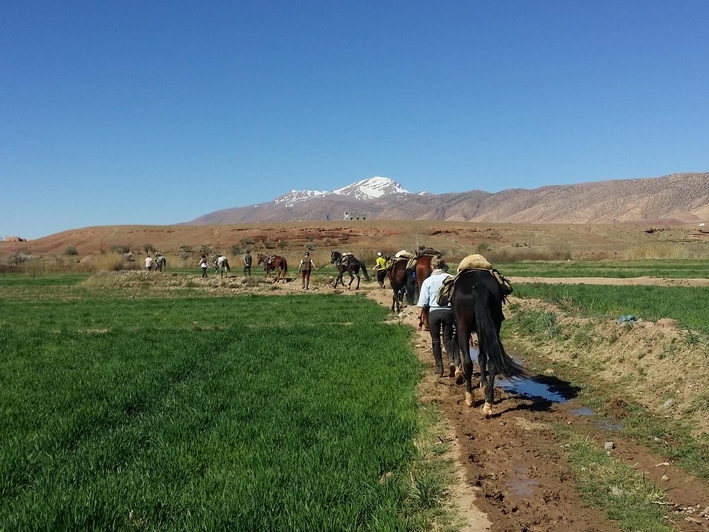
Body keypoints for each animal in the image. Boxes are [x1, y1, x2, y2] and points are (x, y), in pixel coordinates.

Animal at [454, 270, 524, 416]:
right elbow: (482, 358)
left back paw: (470, 398)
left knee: (468, 362)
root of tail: (479, 285)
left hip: (463, 327)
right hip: (493, 325)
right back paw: (488, 404)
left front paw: (459, 374)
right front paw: (483, 385)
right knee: (492, 363)